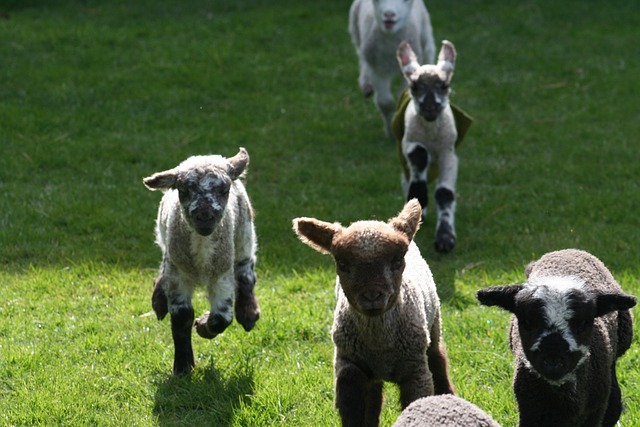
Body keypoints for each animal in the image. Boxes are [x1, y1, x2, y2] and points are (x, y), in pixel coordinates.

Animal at [142, 149, 260, 376]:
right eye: (184, 190)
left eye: (224, 190)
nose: (205, 216)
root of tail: (207, 155)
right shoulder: (177, 275)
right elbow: (182, 318)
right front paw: (183, 367)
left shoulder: (222, 276)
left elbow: (221, 318)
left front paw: (203, 326)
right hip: (166, 242)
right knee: (163, 263)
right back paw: (158, 300)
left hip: (244, 233)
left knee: (246, 268)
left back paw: (248, 313)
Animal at [294, 201, 456, 427]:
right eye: (341, 263)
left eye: (397, 260)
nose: (372, 296)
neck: (380, 345)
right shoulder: (349, 366)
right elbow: (354, 411)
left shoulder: (416, 371)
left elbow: (416, 403)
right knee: (374, 400)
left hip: (434, 327)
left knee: (438, 362)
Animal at [348, 0, 438, 139]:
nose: (389, 14)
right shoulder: (377, 68)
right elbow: (384, 101)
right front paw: (391, 132)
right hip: (357, 32)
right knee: (361, 56)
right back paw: (366, 84)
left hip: (426, 38)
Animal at [396, 39, 460, 254]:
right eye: (414, 86)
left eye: (445, 85)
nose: (430, 108)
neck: (431, 136)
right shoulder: (408, 142)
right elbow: (419, 156)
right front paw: (420, 195)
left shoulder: (448, 152)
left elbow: (444, 193)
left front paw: (445, 238)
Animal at [476, 249, 636, 426]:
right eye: (527, 322)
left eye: (583, 323)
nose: (553, 360)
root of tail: (567, 251)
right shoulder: (529, 411)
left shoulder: (594, 412)